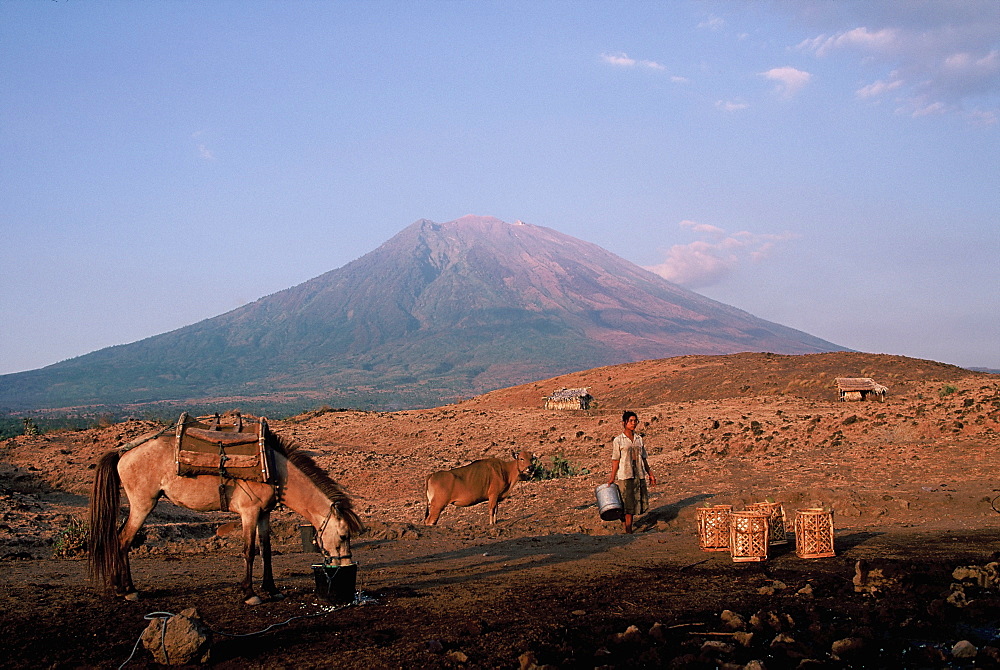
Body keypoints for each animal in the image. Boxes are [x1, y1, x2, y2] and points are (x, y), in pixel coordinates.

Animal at [89, 420, 364, 604]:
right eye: (343, 536)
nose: (345, 565)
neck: (274, 470)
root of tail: (122, 452)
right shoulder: (249, 512)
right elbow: (249, 551)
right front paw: (250, 594)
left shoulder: (264, 514)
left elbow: (266, 551)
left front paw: (271, 589)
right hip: (143, 504)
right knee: (123, 540)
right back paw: (128, 590)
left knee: (118, 538)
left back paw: (119, 587)